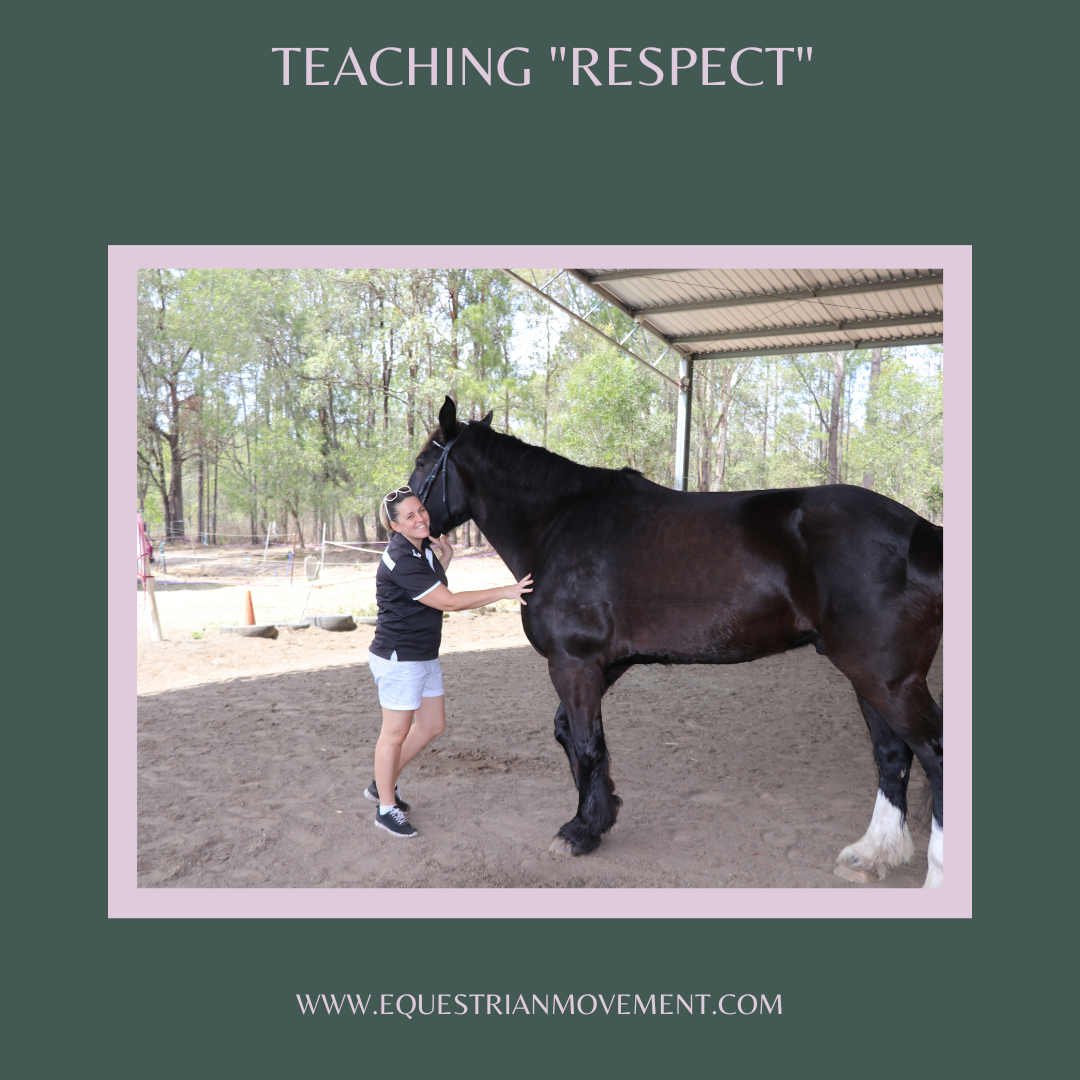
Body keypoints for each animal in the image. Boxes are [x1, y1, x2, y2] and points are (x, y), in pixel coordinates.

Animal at [408, 397, 944, 888]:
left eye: (421, 462)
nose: (398, 515)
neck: (557, 525)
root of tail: (924, 532)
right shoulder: (605, 665)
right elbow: (574, 735)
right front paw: (601, 814)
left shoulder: (573, 663)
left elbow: (585, 742)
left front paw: (580, 832)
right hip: (868, 677)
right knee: (892, 757)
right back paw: (872, 854)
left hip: (888, 680)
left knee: (934, 754)